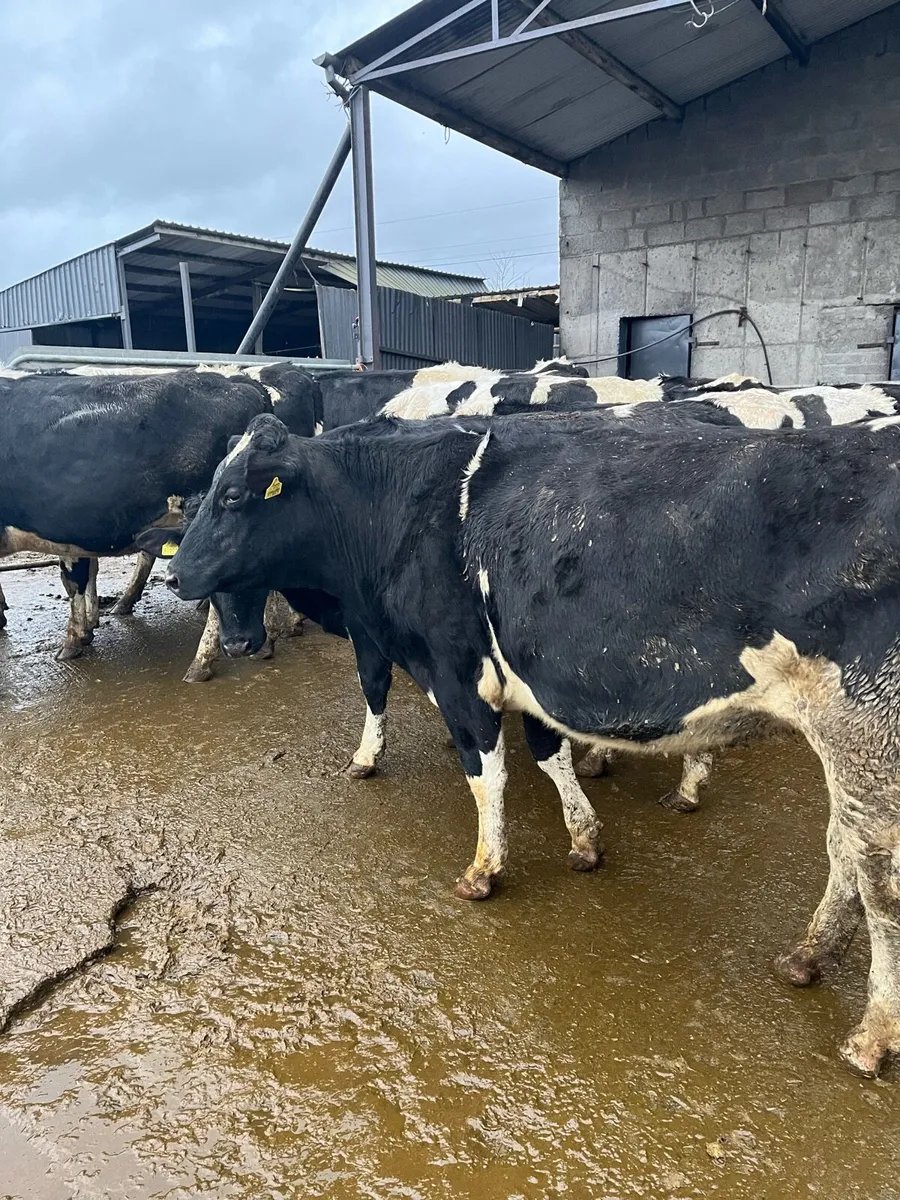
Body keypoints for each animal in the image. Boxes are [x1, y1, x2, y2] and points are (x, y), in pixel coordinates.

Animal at [0, 363, 320, 677]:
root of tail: (242, 381)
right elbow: (78, 578)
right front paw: (84, 630)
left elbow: (75, 581)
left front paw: (75, 637)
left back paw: (201, 663)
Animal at [161, 409, 900, 1076]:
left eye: (234, 496)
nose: (174, 576)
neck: (402, 507)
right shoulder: (530, 673)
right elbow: (551, 755)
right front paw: (584, 840)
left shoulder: (456, 672)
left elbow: (483, 771)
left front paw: (484, 868)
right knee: (843, 846)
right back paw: (808, 956)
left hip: (867, 733)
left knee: (879, 879)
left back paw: (870, 1036)